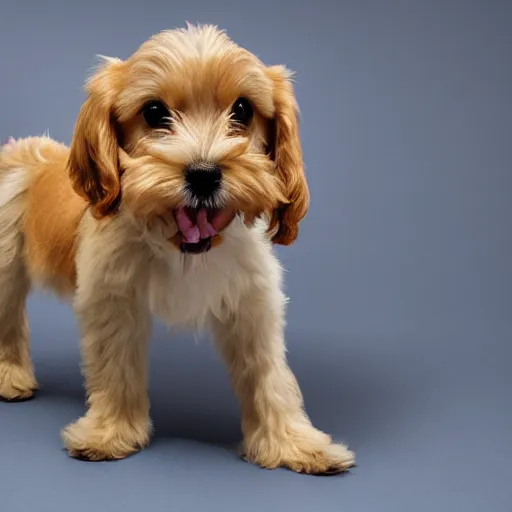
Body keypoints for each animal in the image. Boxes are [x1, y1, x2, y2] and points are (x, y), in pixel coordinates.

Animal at [0, 23, 354, 472]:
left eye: (242, 109)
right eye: (154, 112)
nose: (203, 174)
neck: (182, 248)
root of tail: (22, 148)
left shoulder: (252, 304)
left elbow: (269, 375)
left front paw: (293, 443)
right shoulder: (112, 301)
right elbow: (115, 366)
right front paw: (110, 433)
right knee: (8, 316)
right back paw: (10, 375)